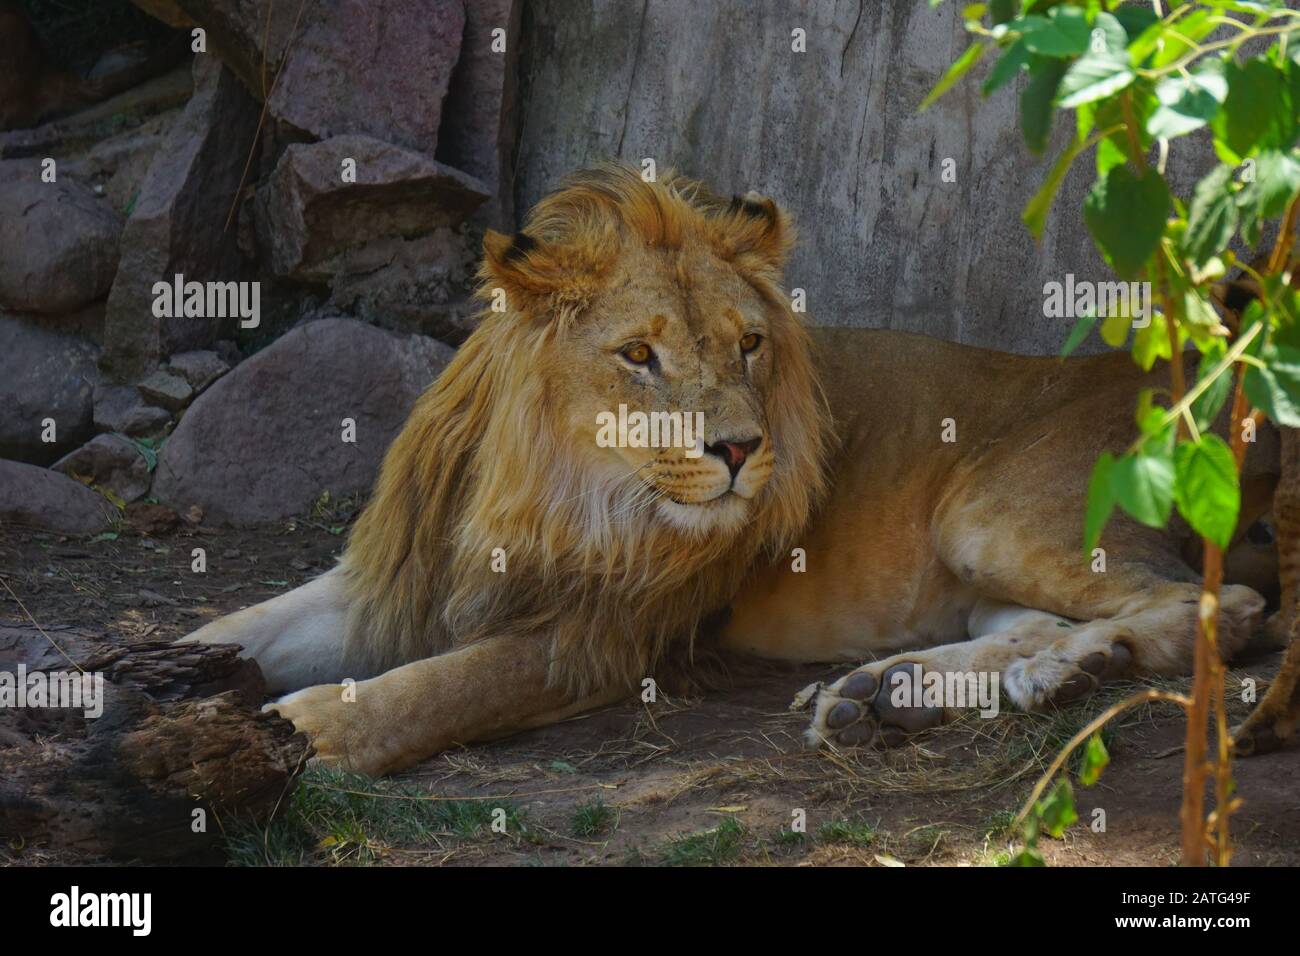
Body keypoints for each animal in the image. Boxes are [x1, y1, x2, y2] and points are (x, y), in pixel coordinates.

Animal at [184, 162, 1293, 775]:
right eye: (639, 353)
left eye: (750, 344)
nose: (740, 449)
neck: (550, 485)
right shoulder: (389, 579)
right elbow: (230, 632)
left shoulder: (603, 636)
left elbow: (437, 687)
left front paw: (307, 731)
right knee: (1037, 620)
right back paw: (898, 692)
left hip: (989, 511)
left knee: (1216, 606)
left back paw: (1059, 671)